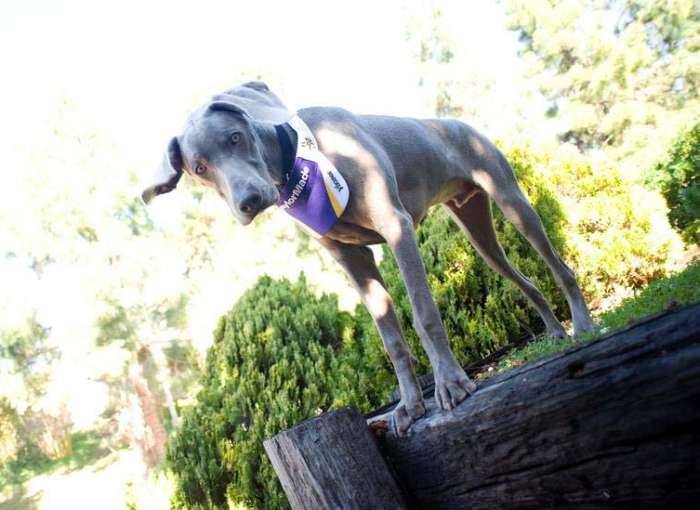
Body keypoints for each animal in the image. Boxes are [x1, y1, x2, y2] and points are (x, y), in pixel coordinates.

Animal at [142, 80, 592, 434]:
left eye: (235, 137)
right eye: (199, 168)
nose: (248, 201)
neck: (300, 162)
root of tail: (455, 122)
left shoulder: (398, 228)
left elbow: (424, 315)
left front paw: (450, 384)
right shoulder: (352, 260)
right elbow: (390, 337)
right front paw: (409, 405)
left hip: (511, 200)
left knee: (559, 266)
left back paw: (582, 325)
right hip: (477, 228)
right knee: (526, 281)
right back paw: (555, 333)